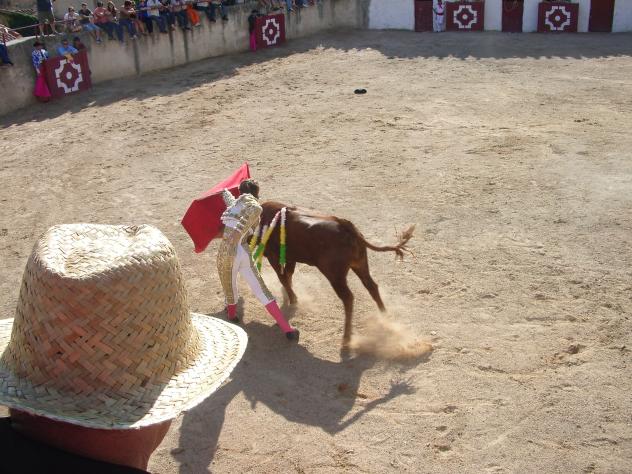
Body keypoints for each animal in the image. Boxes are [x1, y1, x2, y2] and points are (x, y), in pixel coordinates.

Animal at [257, 201, 415, 347]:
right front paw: (290, 297)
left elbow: (283, 277)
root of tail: (347, 226)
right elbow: (288, 276)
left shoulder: (273, 256)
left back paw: (347, 338)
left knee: (348, 298)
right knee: (371, 286)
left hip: (334, 276)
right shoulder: (291, 257)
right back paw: (385, 319)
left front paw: (292, 299)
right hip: (360, 264)